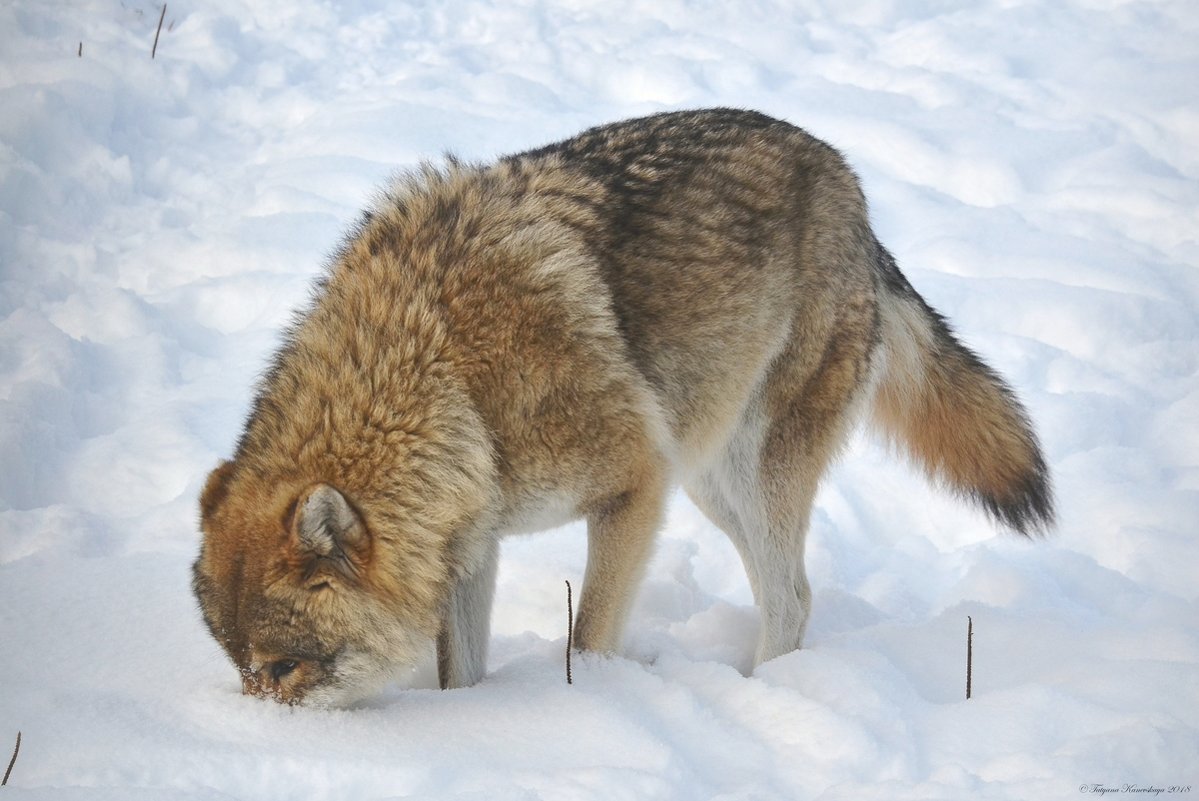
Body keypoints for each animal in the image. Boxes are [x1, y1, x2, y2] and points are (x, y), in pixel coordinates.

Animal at [187, 107, 1050, 705]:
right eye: (241, 667)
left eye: (284, 666)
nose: (253, 727)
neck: (445, 368)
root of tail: (844, 176)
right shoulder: (469, 546)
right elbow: (458, 671)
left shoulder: (633, 487)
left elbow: (589, 635)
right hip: (704, 481)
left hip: (743, 472)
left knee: (791, 595)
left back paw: (763, 696)